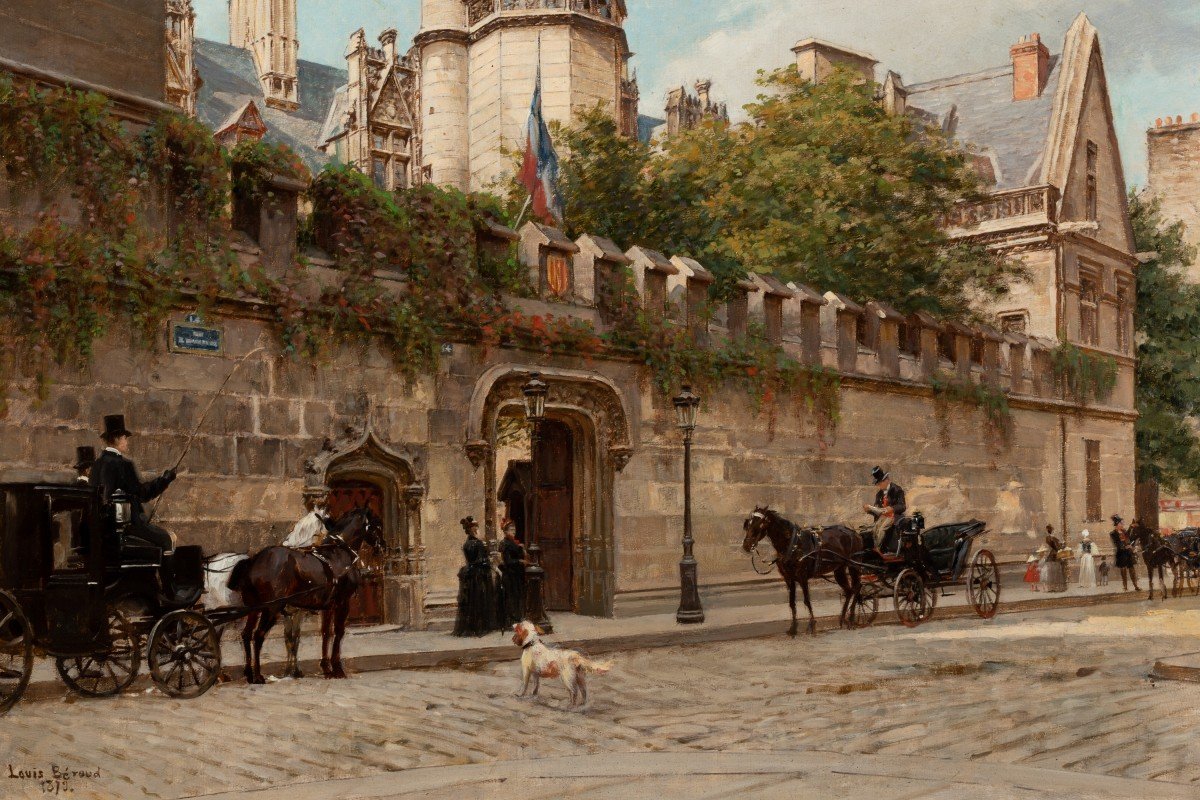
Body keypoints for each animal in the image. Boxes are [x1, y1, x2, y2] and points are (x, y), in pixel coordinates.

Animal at [229, 506, 384, 681]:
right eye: (377, 523)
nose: (383, 546)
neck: (339, 554)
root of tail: (255, 561)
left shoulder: (328, 606)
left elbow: (325, 633)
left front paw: (326, 668)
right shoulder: (342, 603)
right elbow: (338, 632)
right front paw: (337, 668)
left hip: (254, 608)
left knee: (246, 634)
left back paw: (249, 673)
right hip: (271, 609)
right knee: (258, 635)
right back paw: (258, 675)